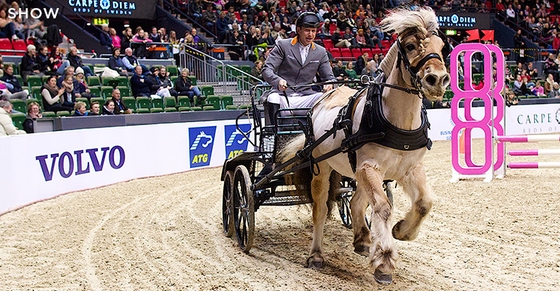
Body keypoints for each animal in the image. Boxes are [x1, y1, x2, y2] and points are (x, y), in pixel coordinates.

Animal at [280, 8, 450, 286]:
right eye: (410, 45)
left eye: (442, 46)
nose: (437, 79)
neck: (395, 120)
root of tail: (322, 98)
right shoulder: (370, 168)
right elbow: (383, 208)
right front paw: (384, 261)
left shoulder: (409, 169)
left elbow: (424, 202)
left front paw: (401, 231)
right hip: (323, 167)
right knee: (320, 210)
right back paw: (316, 255)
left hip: (356, 170)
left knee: (357, 202)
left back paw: (362, 239)